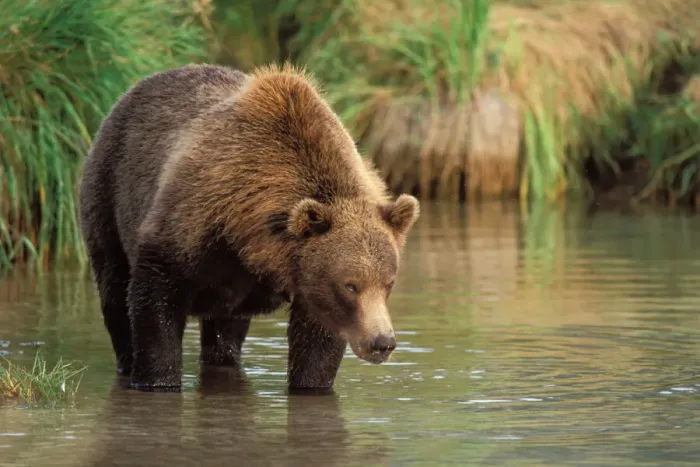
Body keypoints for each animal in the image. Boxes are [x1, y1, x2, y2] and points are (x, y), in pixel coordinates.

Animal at [78, 63, 420, 392]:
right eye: (350, 285)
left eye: (388, 283)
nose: (382, 343)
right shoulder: (186, 227)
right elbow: (155, 306)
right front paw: (157, 378)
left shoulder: (304, 280)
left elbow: (316, 346)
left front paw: (311, 383)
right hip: (108, 192)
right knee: (114, 287)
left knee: (224, 333)